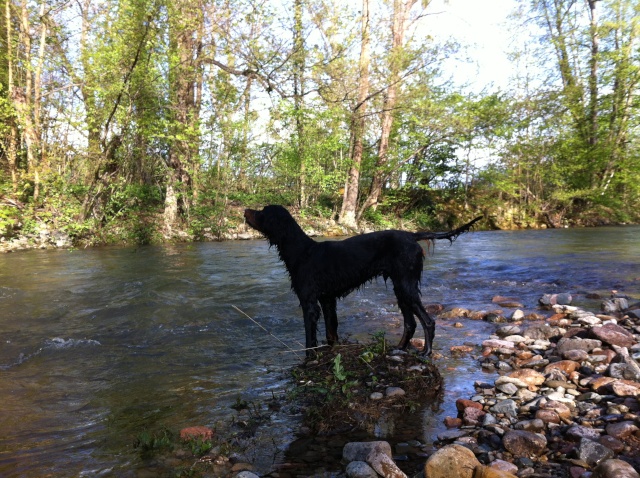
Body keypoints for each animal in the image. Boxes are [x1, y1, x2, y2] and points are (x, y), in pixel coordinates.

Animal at [245, 204, 480, 356]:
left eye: (262, 211)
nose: (244, 211)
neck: (302, 252)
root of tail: (411, 235)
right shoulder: (327, 300)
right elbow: (331, 333)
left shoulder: (309, 302)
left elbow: (309, 339)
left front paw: (309, 359)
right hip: (400, 287)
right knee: (410, 322)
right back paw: (399, 349)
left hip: (406, 286)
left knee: (428, 321)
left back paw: (426, 352)